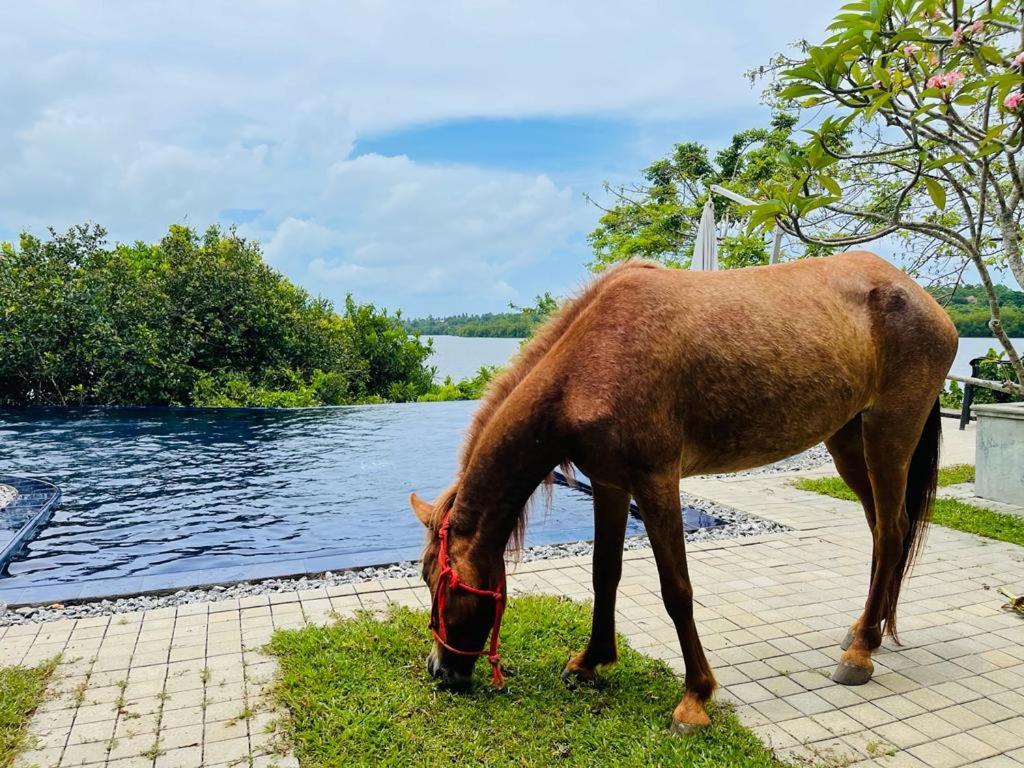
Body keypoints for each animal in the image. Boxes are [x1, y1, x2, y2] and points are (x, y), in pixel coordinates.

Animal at [407, 252, 958, 733]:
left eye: (438, 581)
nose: (440, 672)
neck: (593, 357)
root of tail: (922, 299)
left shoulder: (656, 481)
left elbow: (677, 590)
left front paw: (695, 697)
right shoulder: (609, 484)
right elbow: (604, 574)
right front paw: (590, 662)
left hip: (888, 435)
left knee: (893, 532)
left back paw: (860, 653)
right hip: (846, 440)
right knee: (882, 531)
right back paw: (868, 631)